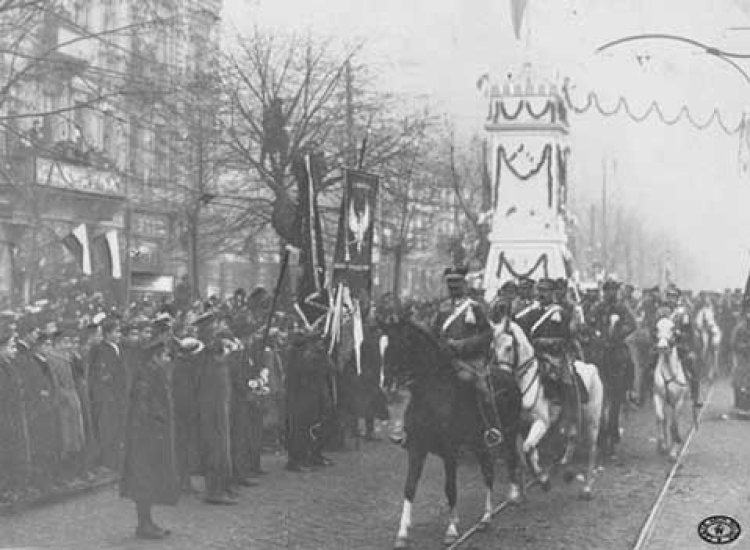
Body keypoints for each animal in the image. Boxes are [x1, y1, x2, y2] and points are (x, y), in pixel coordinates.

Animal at [378, 312, 524, 548]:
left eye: (398, 345)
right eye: (380, 346)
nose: (385, 384)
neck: (432, 396)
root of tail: (508, 376)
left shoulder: (450, 452)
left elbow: (450, 488)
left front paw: (452, 530)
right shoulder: (416, 450)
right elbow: (409, 487)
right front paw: (402, 533)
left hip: (508, 434)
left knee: (509, 461)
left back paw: (510, 498)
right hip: (478, 444)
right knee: (488, 471)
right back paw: (486, 518)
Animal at [490, 316, 608, 502]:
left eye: (509, 347)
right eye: (493, 347)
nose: (501, 378)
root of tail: (592, 368)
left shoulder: (542, 423)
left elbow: (528, 448)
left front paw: (543, 481)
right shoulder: (516, 427)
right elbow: (523, 457)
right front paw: (521, 494)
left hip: (592, 421)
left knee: (591, 450)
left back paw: (586, 489)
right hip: (571, 418)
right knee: (572, 439)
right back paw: (565, 468)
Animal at [656, 316, 692, 460]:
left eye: (672, 328)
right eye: (656, 328)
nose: (662, 347)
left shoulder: (679, 401)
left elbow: (674, 424)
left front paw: (674, 450)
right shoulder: (658, 396)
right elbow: (661, 418)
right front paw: (662, 445)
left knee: (674, 421)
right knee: (666, 419)